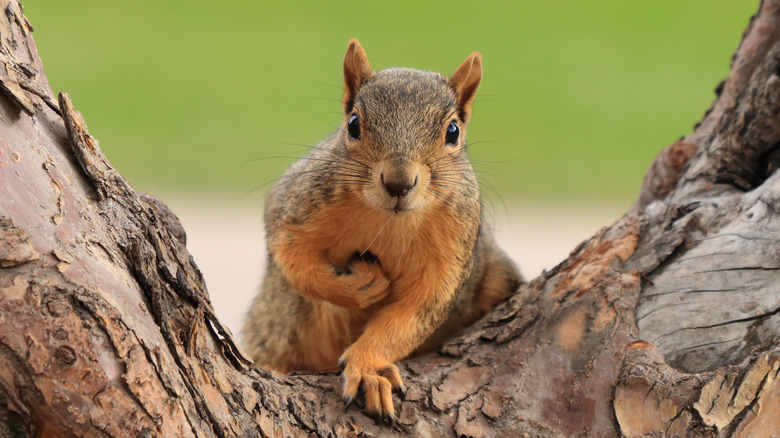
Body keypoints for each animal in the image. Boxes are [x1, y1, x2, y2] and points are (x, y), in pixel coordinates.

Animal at [242, 39, 524, 420]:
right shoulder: (295, 206)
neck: (389, 221)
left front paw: (367, 368)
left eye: (453, 132)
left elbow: (412, 316)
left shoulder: (453, 253)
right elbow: (292, 261)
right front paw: (358, 287)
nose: (398, 184)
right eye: (353, 125)